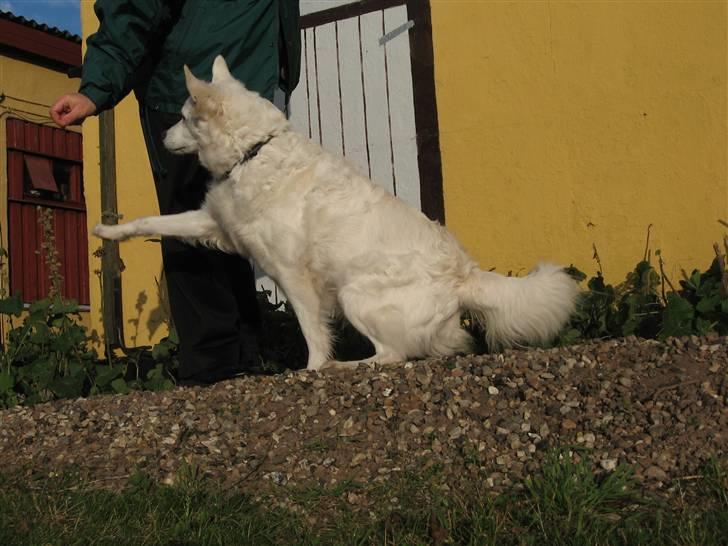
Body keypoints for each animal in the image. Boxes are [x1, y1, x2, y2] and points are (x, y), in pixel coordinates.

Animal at [92, 55, 580, 370]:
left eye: (182, 117)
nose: (161, 139)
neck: (254, 151)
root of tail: (464, 274)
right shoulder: (217, 223)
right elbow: (151, 222)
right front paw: (108, 231)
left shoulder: (293, 275)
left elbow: (312, 331)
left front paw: (313, 369)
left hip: (353, 294)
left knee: (394, 356)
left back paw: (349, 367)